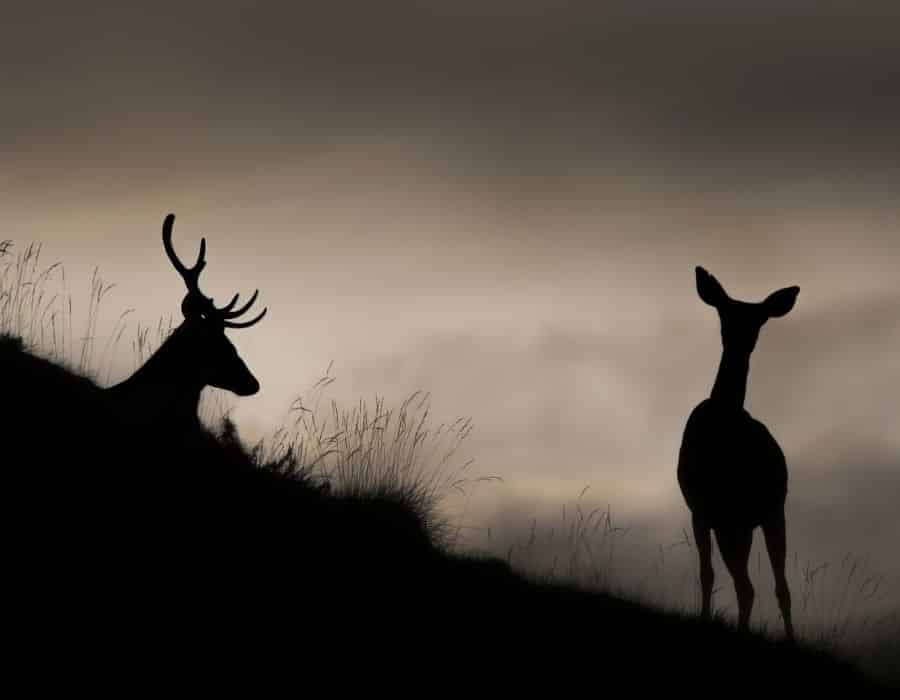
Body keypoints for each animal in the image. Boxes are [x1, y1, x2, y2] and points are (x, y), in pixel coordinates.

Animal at [677, 266, 799, 642]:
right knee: (759, 585)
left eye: (758, 320)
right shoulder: (709, 511)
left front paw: (704, 619)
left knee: (759, 585)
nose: (739, 338)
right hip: (750, 519)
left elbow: (708, 574)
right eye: (725, 313)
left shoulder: (704, 508)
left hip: (760, 513)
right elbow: (713, 575)